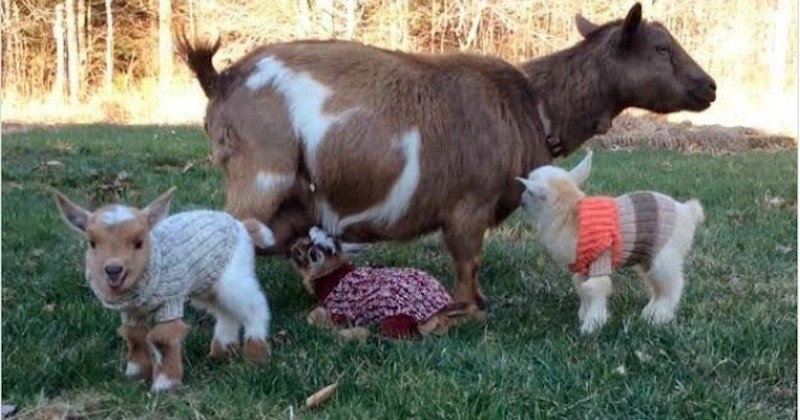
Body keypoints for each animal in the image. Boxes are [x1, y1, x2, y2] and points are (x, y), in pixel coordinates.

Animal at [54, 189, 272, 392]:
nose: (113, 270)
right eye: (92, 243)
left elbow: (163, 338)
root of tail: (241, 225)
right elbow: (135, 336)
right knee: (226, 312)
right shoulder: (132, 312)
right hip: (209, 282)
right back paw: (222, 350)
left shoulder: (170, 300)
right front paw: (136, 373)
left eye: (139, 243)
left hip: (233, 275)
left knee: (255, 304)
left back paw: (255, 353)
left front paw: (164, 384)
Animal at [177, 2, 720, 312]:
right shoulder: (468, 206)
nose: (711, 86)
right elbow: (467, 260)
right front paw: (469, 311)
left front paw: (480, 302)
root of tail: (222, 78)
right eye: (661, 47)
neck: (531, 103)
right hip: (261, 174)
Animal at [250, 225, 468, 340]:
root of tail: (439, 313)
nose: (288, 247)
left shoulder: (338, 309)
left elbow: (315, 316)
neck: (331, 274)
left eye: (300, 253)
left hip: (395, 319)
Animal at [516, 152, 704, 334]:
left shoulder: (600, 259)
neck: (570, 214)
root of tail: (688, 211)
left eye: (529, 192)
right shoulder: (584, 266)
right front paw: (583, 315)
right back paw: (649, 312)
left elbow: (595, 288)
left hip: (664, 256)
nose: (521, 199)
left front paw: (592, 325)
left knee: (673, 286)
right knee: (658, 286)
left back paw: (659, 316)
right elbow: (581, 287)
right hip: (648, 258)